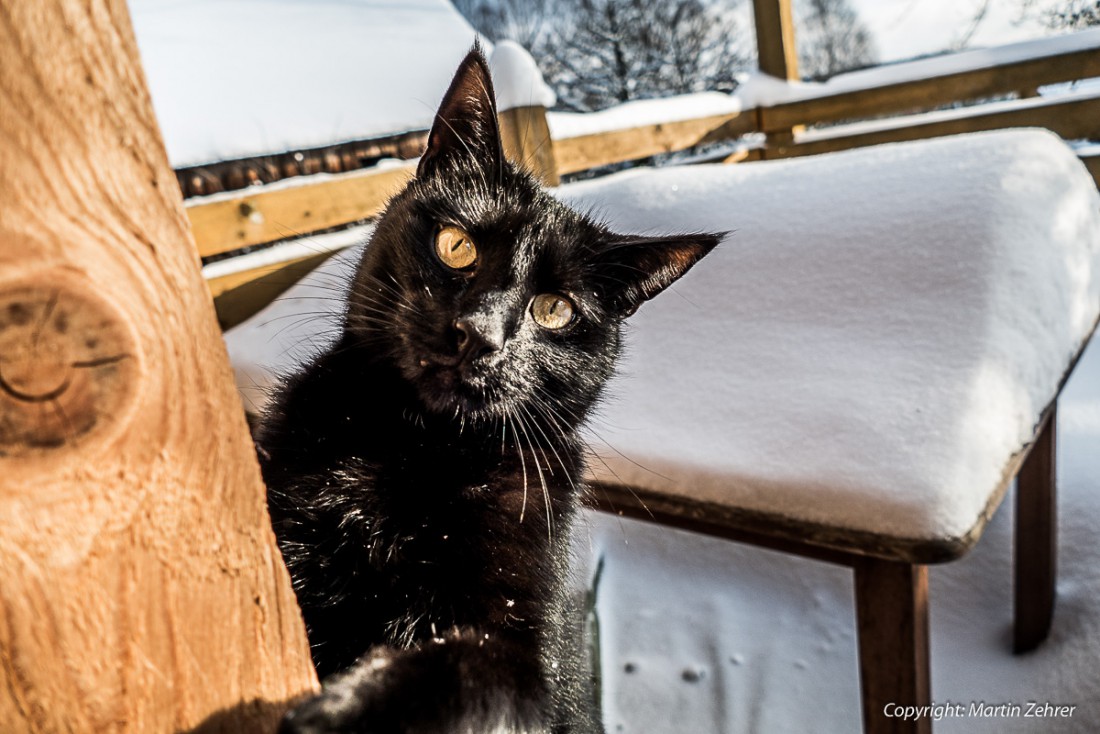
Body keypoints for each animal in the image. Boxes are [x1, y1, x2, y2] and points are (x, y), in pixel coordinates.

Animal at [257, 47, 721, 734]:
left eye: (554, 310)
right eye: (457, 246)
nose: (478, 333)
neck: (411, 451)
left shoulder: (531, 650)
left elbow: (478, 667)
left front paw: (345, 714)